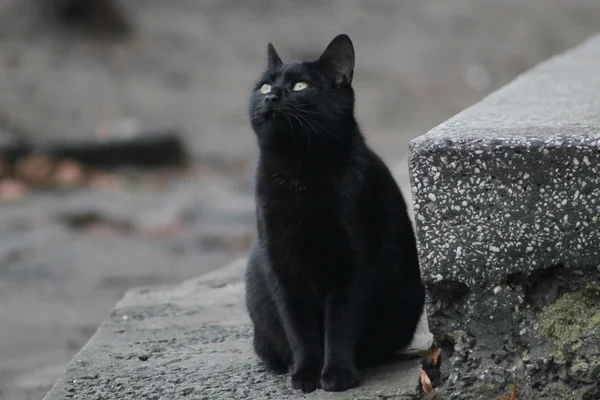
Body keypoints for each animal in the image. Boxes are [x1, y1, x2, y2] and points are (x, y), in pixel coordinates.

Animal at [245, 34, 426, 394]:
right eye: (264, 86)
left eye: (299, 86)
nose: (271, 96)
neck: (299, 173)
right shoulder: (283, 268)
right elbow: (300, 329)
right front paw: (305, 374)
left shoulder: (354, 264)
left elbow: (341, 325)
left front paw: (337, 374)